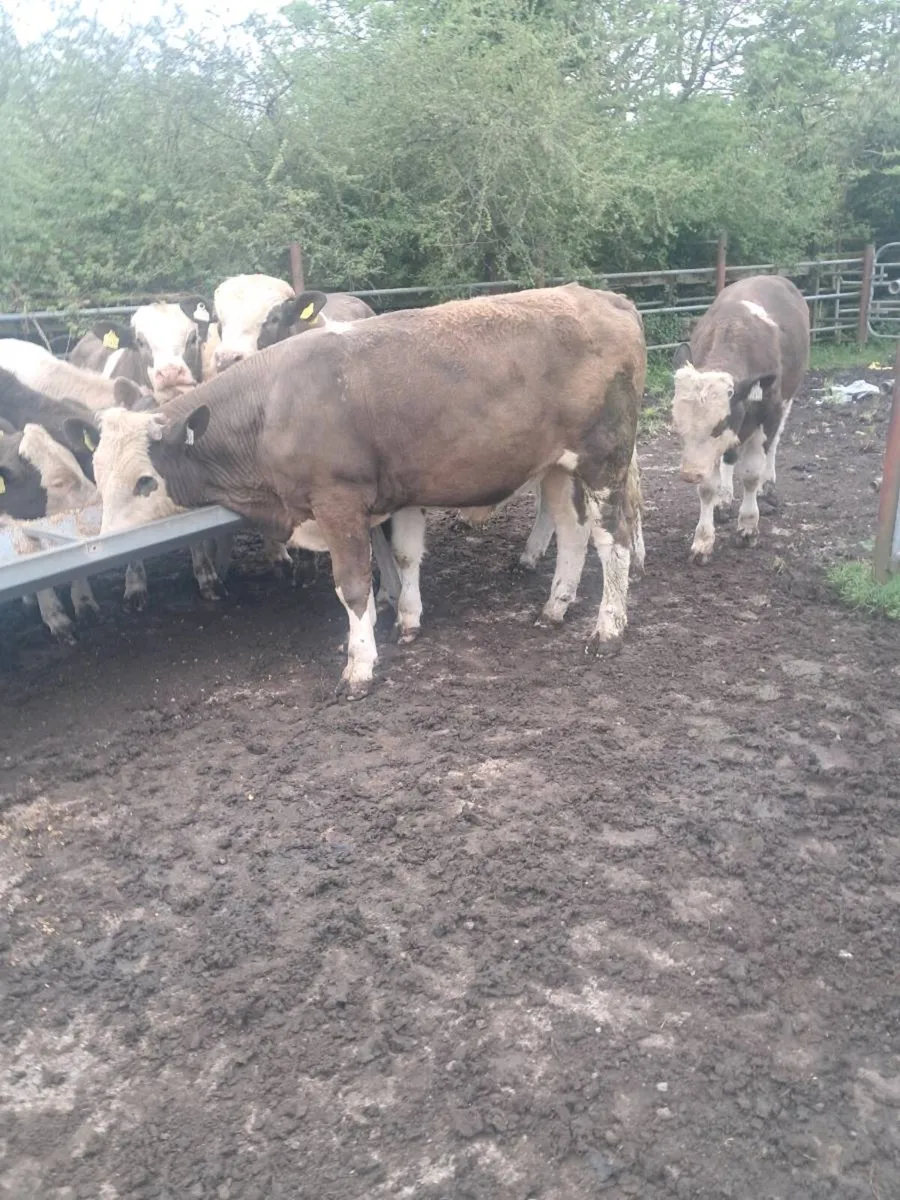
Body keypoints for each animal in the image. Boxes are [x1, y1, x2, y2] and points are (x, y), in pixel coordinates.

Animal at [84, 284, 646, 698]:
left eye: (144, 480)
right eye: (98, 472)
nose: (105, 544)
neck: (274, 404)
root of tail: (602, 296)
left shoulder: (338, 503)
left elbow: (353, 586)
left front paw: (359, 667)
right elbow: (399, 561)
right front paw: (399, 625)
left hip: (604, 460)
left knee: (613, 538)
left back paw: (609, 630)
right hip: (557, 467)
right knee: (572, 533)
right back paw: (555, 607)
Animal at [671, 274, 809, 563]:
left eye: (719, 425)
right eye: (678, 427)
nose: (688, 475)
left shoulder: (768, 414)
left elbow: (751, 475)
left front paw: (747, 527)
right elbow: (707, 487)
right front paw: (703, 540)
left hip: (788, 398)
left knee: (774, 444)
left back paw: (768, 484)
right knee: (730, 456)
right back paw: (725, 499)